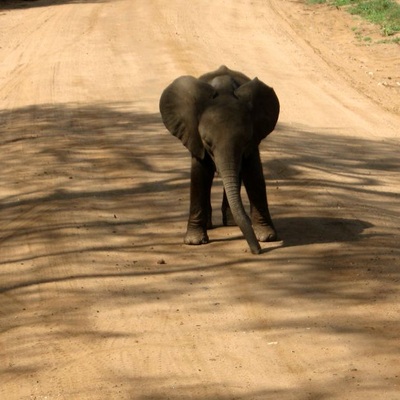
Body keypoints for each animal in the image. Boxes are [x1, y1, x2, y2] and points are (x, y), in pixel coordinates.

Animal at [158, 64, 280, 255]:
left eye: (246, 141)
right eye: (207, 142)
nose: (257, 251)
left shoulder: (254, 140)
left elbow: (254, 175)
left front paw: (267, 237)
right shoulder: (195, 137)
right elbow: (199, 176)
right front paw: (194, 242)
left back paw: (231, 222)